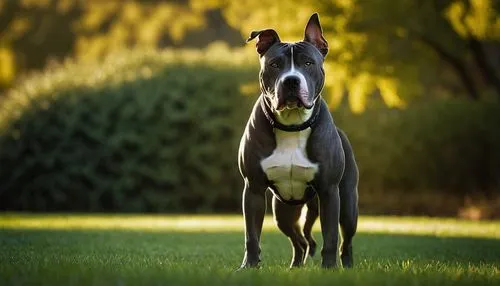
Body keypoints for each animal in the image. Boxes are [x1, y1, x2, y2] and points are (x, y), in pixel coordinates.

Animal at [236, 12, 358, 268]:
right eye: (274, 64)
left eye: (308, 63)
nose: (291, 80)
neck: (291, 126)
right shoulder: (253, 189)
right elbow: (252, 235)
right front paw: (249, 266)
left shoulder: (329, 192)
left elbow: (331, 236)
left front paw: (329, 269)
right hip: (283, 211)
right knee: (300, 241)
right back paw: (295, 266)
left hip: (348, 205)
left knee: (346, 240)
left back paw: (347, 265)